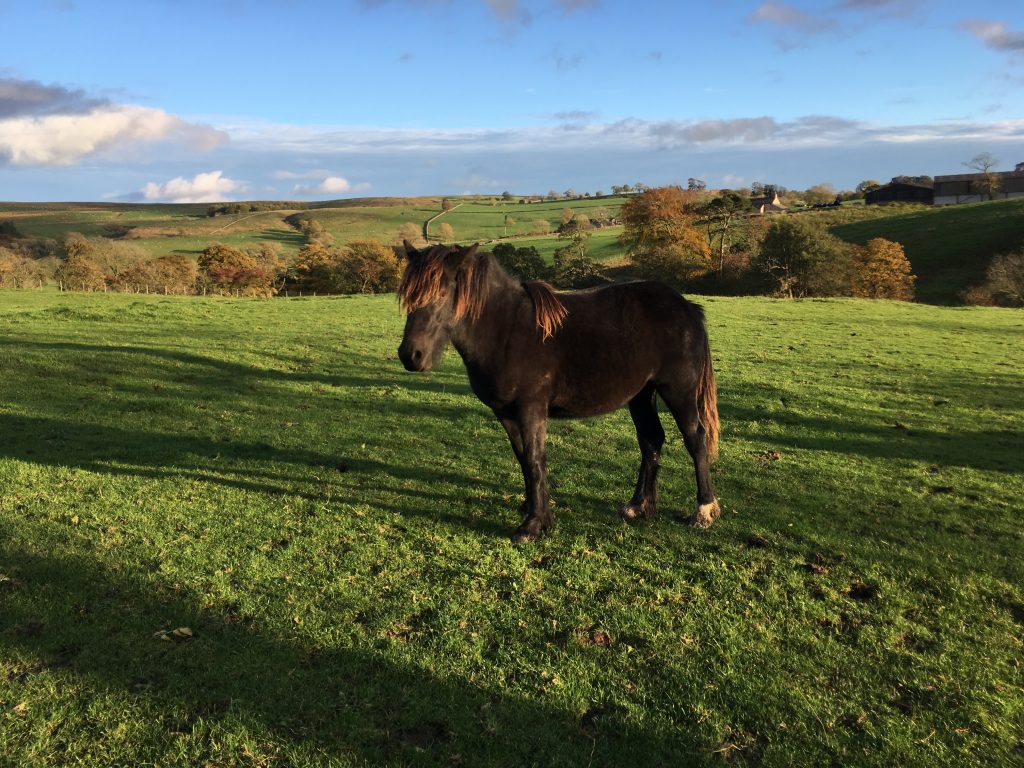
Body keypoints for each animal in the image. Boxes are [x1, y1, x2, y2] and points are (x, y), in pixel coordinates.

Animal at [397, 241, 720, 543]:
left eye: (441, 294)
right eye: (408, 296)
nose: (410, 355)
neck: (506, 330)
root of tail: (687, 307)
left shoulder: (531, 409)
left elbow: (536, 459)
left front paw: (534, 525)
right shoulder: (505, 413)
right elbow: (523, 459)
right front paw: (532, 507)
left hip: (678, 390)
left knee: (695, 439)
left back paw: (703, 511)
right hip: (641, 395)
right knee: (651, 440)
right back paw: (638, 506)